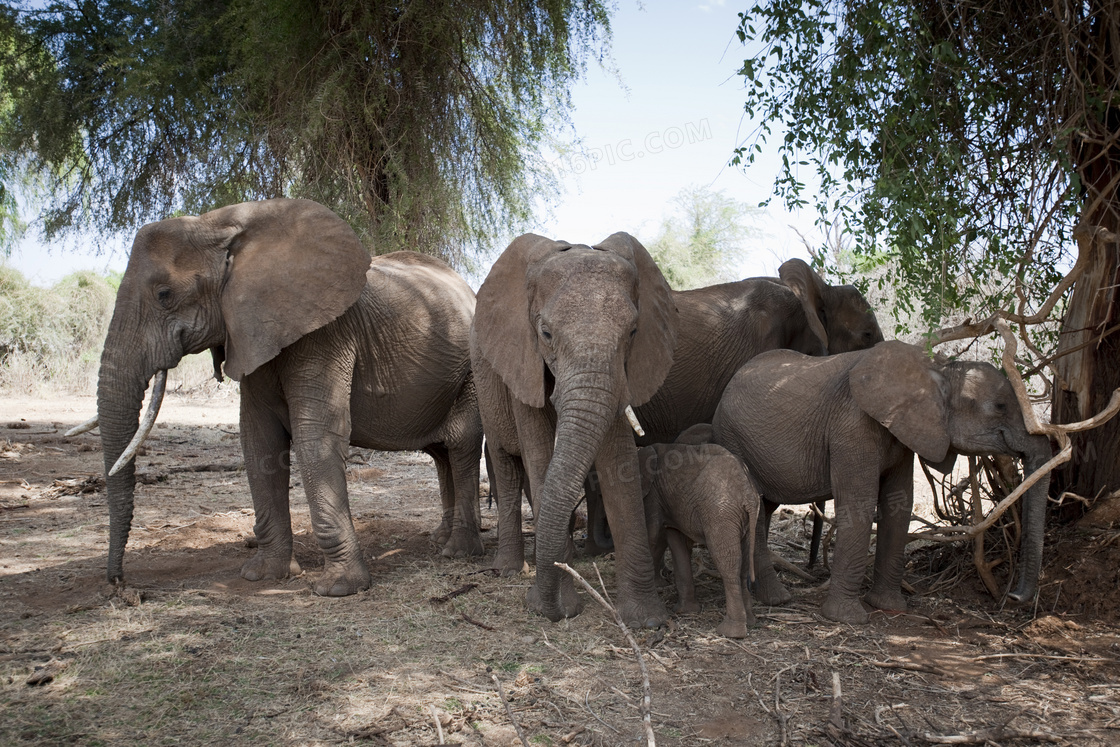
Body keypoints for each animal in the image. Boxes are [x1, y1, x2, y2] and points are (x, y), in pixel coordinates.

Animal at [78, 197, 481, 595]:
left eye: (164, 295)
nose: (120, 585)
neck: (219, 224)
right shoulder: (250, 332)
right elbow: (259, 439)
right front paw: (264, 576)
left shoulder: (325, 332)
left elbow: (313, 436)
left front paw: (338, 588)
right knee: (442, 454)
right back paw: (440, 541)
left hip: (473, 373)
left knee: (461, 445)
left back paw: (457, 552)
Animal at [470, 230, 676, 627]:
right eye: (546, 333)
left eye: (633, 332)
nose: (542, 608)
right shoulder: (523, 360)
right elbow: (539, 456)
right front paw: (555, 608)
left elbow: (618, 463)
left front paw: (647, 620)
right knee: (507, 465)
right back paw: (510, 570)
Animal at [640, 441, 761, 640]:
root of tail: (748, 494)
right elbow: (675, 541)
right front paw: (685, 611)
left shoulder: (653, 495)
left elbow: (653, 535)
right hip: (745, 519)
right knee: (743, 562)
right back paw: (749, 622)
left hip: (720, 514)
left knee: (727, 561)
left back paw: (730, 632)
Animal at [712, 342, 1052, 627]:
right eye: (999, 406)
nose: (1013, 597)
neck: (936, 372)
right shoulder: (852, 426)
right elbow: (860, 504)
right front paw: (847, 618)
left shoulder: (903, 434)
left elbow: (898, 504)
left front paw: (889, 607)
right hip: (733, 438)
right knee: (756, 507)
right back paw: (778, 599)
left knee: (764, 509)